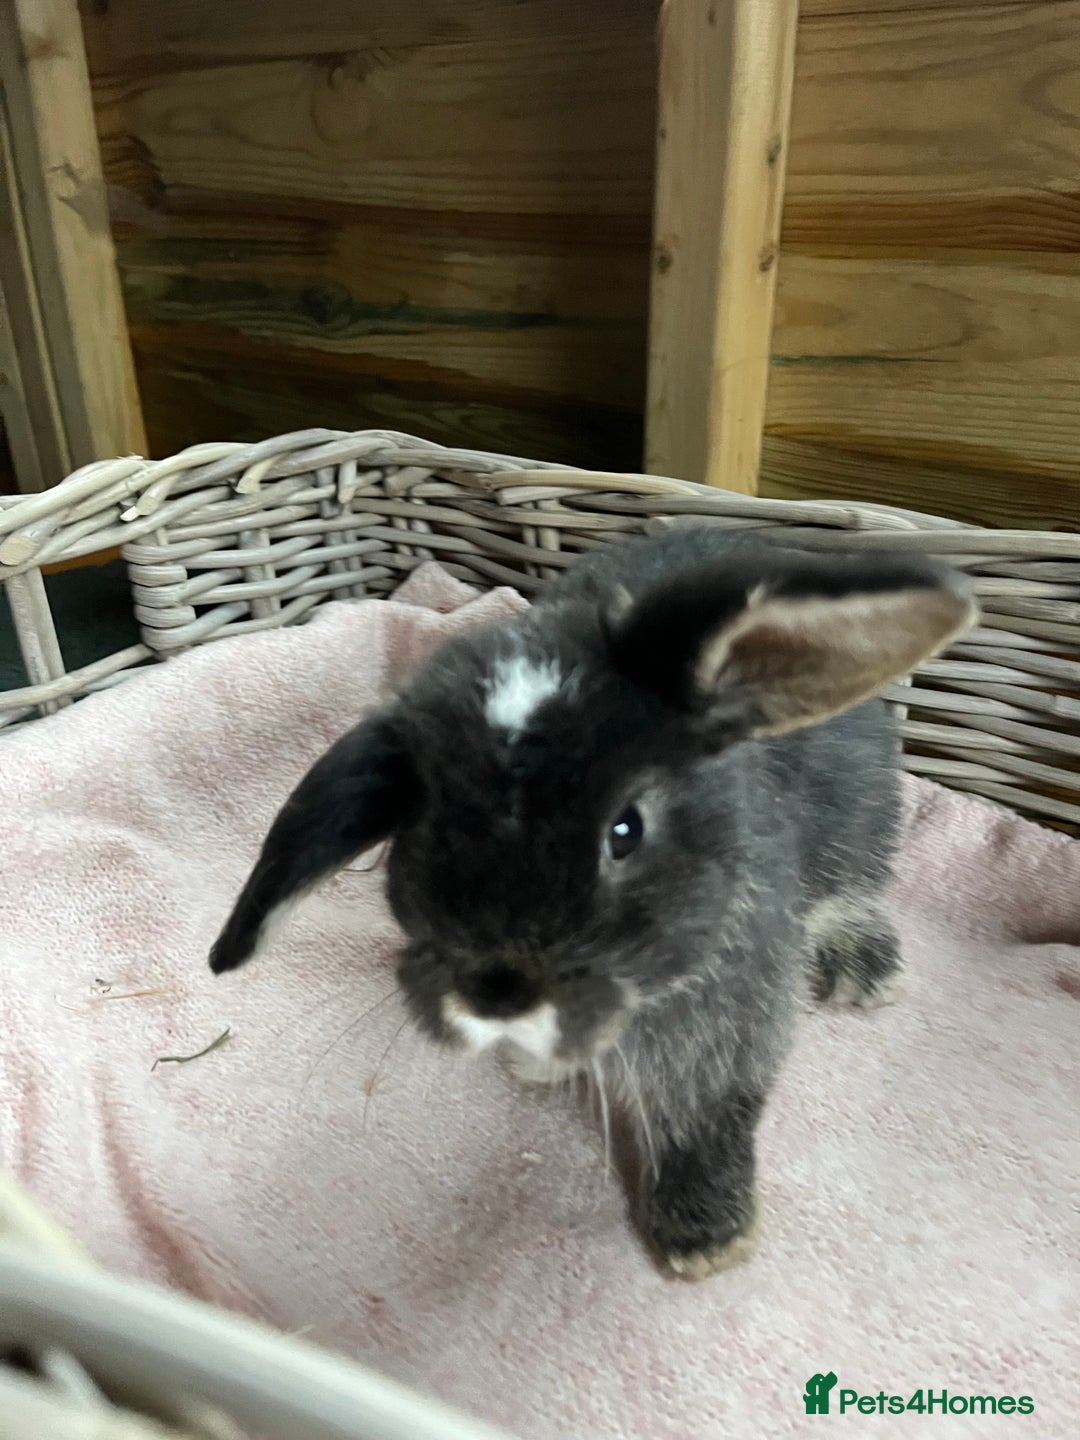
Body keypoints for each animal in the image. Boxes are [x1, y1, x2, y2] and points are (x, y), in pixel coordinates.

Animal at [209, 526, 976, 1280]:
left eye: (625, 830)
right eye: (422, 831)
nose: (496, 993)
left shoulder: (729, 1033)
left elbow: (709, 1117)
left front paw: (706, 1242)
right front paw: (539, 1067)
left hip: (862, 826)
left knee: (856, 885)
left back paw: (863, 970)